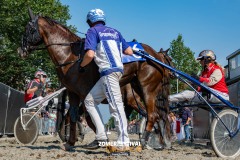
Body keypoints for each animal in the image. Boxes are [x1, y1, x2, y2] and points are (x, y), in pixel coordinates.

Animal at [18, 10, 172, 149]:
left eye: (28, 28)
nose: (20, 50)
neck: (72, 57)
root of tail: (154, 56)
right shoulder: (74, 92)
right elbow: (73, 115)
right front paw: (71, 142)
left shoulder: (85, 92)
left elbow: (89, 117)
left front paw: (100, 139)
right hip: (138, 89)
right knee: (157, 115)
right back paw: (161, 141)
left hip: (146, 89)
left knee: (153, 115)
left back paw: (146, 140)